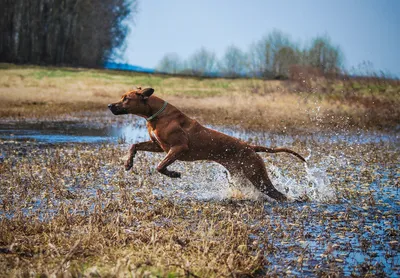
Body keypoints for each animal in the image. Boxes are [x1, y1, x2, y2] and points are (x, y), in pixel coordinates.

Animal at [108, 87, 304, 202]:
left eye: (126, 99)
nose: (110, 105)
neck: (156, 115)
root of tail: (250, 146)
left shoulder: (178, 148)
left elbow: (160, 166)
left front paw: (174, 174)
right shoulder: (158, 145)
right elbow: (134, 145)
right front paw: (128, 163)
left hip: (256, 174)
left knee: (277, 194)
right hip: (241, 175)